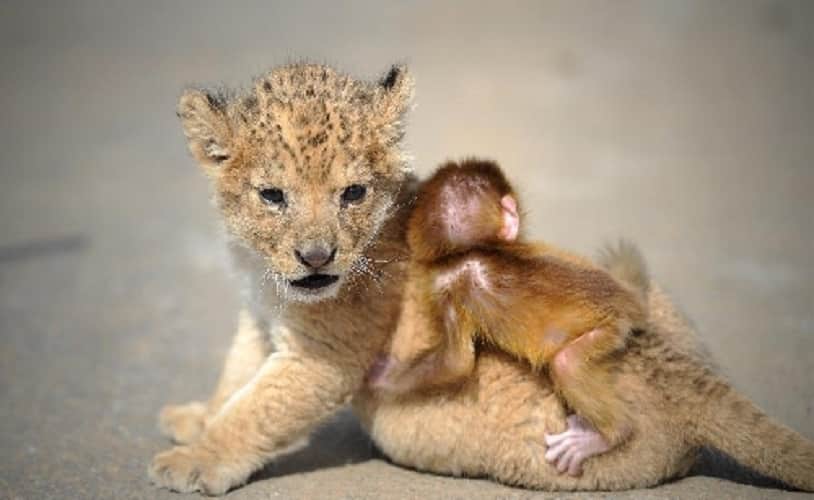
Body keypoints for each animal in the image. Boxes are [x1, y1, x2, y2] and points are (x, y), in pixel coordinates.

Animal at [369, 158, 648, 472]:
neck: (469, 251)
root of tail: (628, 300)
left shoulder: (447, 287)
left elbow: (454, 363)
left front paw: (382, 376)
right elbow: (455, 362)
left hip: (609, 329)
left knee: (566, 363)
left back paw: (608, 435)